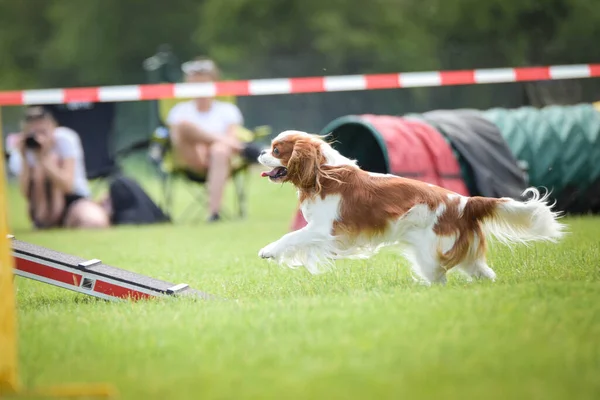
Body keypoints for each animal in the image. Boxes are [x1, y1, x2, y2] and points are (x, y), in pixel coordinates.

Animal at [256, 130, 564, 282]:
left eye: (276, 150)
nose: (258, 152)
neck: (325, 172)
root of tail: (465, 202)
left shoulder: (323, 230)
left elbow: (291, 237)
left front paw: (268, 251)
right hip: (459, 256)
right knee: (484, 274)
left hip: (430, 255)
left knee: (441, 278)